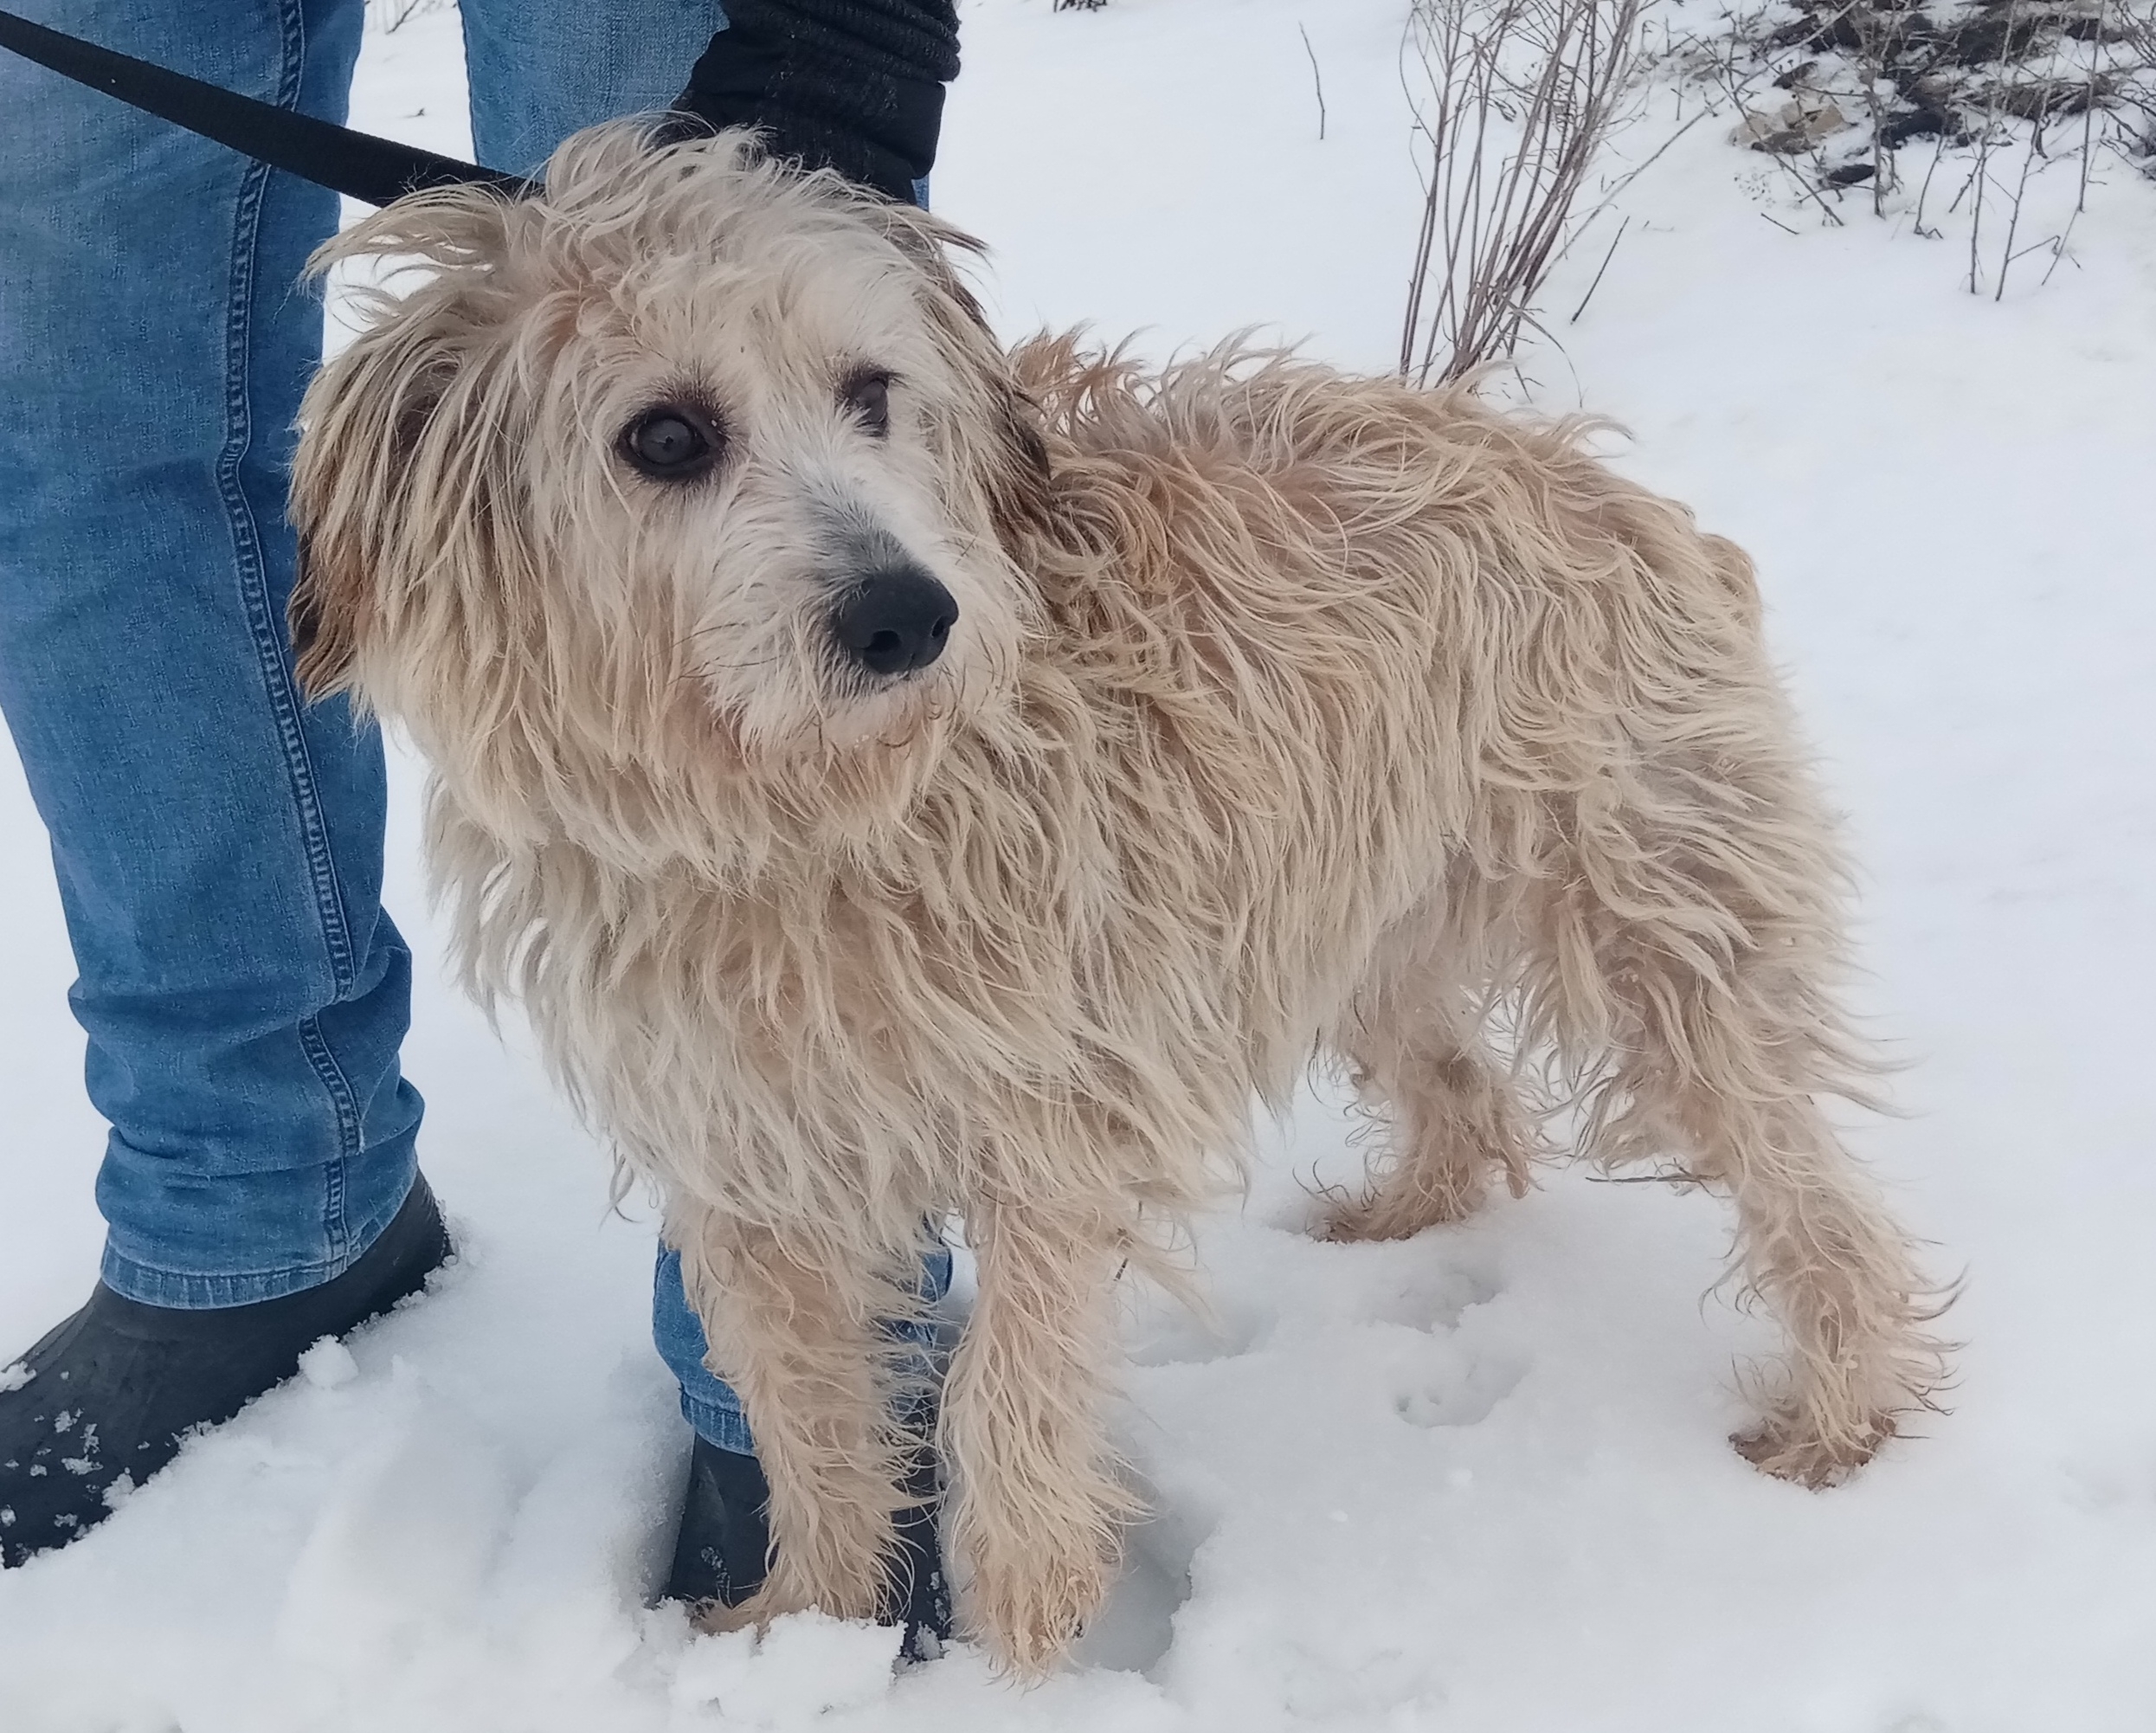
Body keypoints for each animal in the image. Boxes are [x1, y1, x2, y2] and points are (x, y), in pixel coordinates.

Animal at [289, 119, 1950, 1673]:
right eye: (664, 434)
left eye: (871, 392)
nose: (911, 617)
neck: (804, 822)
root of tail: (1607, 483)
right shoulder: (752, 1159)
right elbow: (808, 1413)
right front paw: (806, 1625)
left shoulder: (1055, 1119)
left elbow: (1001, 1395)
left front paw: (1018, 1640)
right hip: (1349, 929)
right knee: (1467, 1089)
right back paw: (1402, 1212)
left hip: (1662, 930)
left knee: (1807, 1189)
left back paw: (1840, 1416)